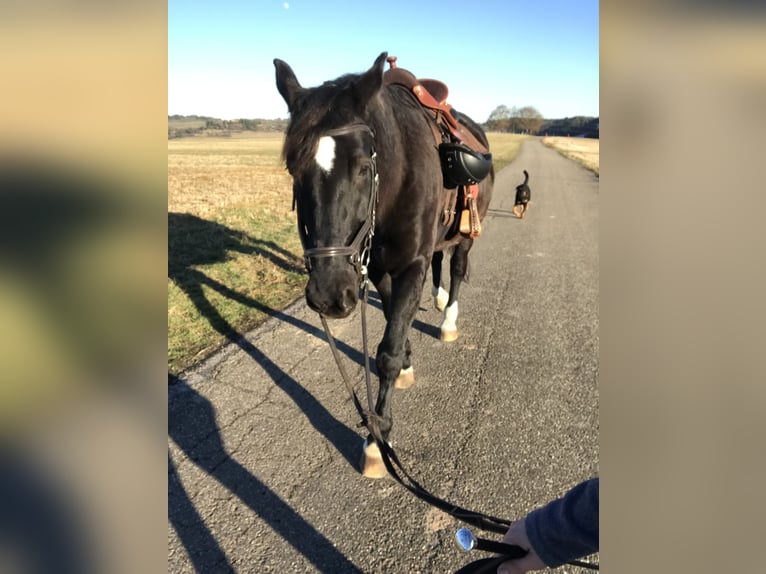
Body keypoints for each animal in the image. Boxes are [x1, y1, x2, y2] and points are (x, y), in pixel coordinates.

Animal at [272, 53, 496, 476]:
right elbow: (395, 316)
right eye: (294, 168)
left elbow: (387, 351)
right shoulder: (375, 267)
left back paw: (448, 319)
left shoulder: (411, 265)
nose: (328, 295)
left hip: (467, 235)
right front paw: (407, 361)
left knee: (457, 268)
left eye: (363, 167)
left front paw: (379, 436)